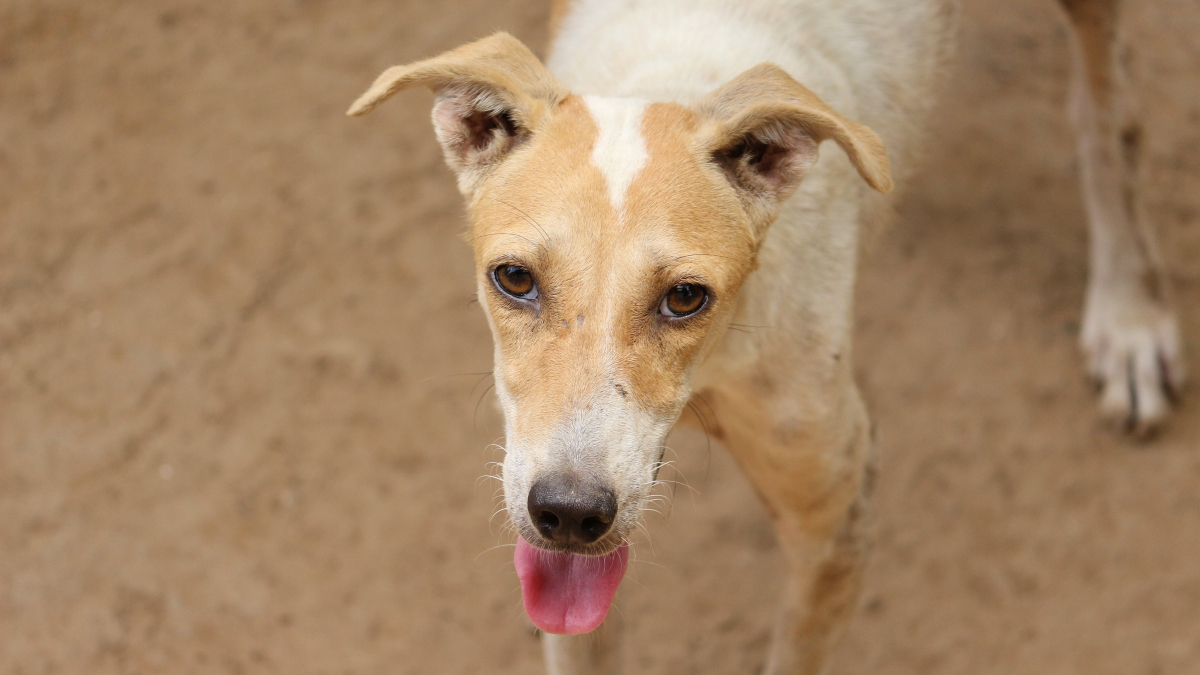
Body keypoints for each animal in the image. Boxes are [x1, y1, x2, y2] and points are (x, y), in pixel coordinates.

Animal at [350, 2, 1185, 667]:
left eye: (686, 296)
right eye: (514, 278)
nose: (571, 512)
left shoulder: (835, 508)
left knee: (1109, 118)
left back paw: (1128, 315)